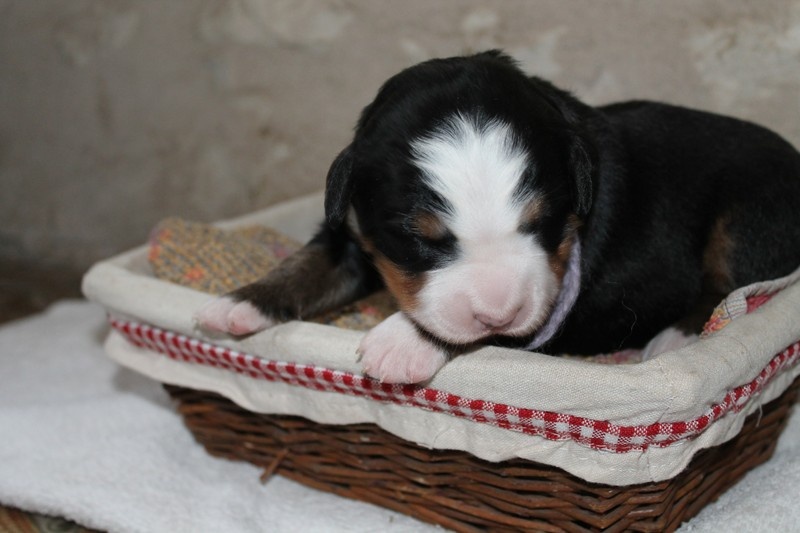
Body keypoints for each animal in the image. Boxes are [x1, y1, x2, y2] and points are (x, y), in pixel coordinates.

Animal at [196, 51, 800, 384]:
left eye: (542, 222)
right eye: (422, 240)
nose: (497, 311)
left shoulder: (559, 306)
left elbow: (489, 336)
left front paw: (402, 342)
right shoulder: (359, 229)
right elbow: (312, 262)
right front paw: (240, 304)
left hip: (750, 213)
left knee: (729, 286)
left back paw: (673, 338)